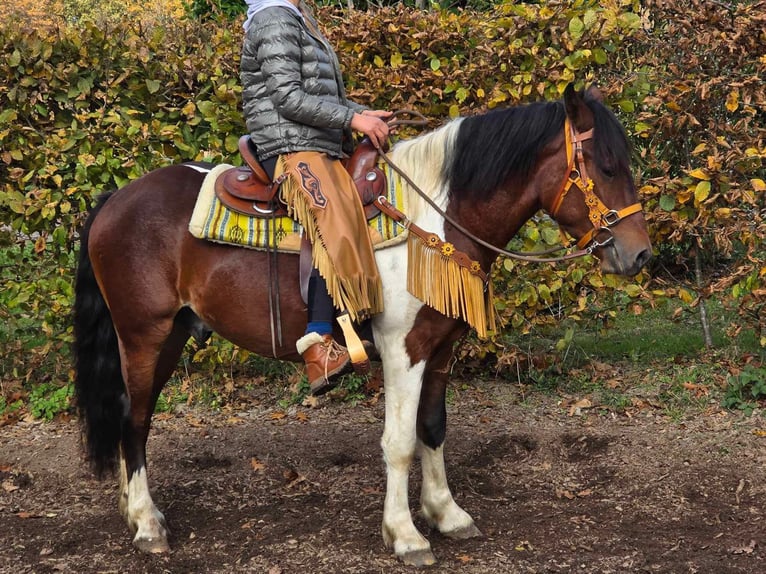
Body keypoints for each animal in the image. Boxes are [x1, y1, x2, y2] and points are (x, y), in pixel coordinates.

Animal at [73, 85, 656, 568]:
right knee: (135, 420)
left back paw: (133, 510)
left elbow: (432, 428)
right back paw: (147, 524)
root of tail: (114, 199)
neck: (433, 219)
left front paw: (447, 514)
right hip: (144, 336)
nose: (640, 254)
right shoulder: (404, 349)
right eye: (606, 166)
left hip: (172, 334)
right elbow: (398, 442)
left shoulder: (439, 349)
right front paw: (406, 535)